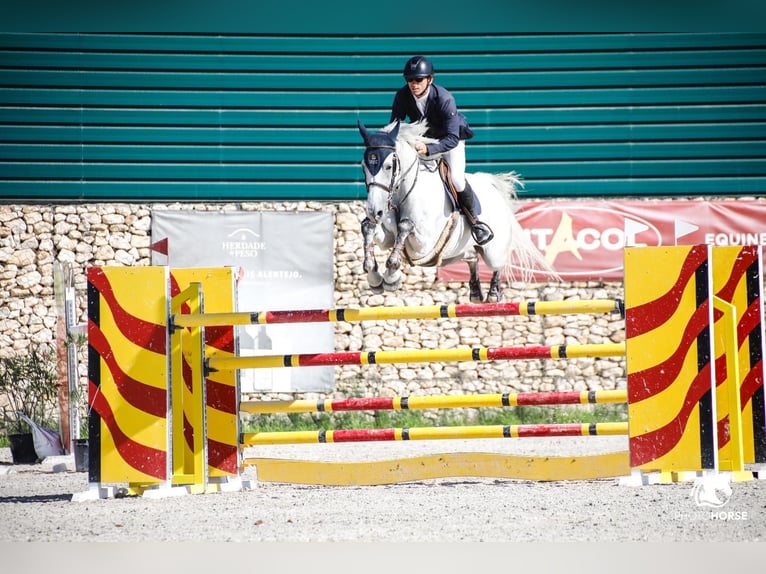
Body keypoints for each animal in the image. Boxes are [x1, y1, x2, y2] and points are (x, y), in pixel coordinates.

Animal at [360, 119, 560, 304]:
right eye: (363, 166)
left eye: (388, 166)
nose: (375, 211)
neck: (402, 191)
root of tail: (493, 188)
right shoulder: (388, 237)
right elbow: (369, 229)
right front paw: (374, 276)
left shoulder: (423, 245)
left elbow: (405, 225)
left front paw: (391, 277)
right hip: (456, 252)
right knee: (472, 256)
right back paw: (476, 292)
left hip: (493, 252)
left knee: (498, 263)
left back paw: (493, 293)